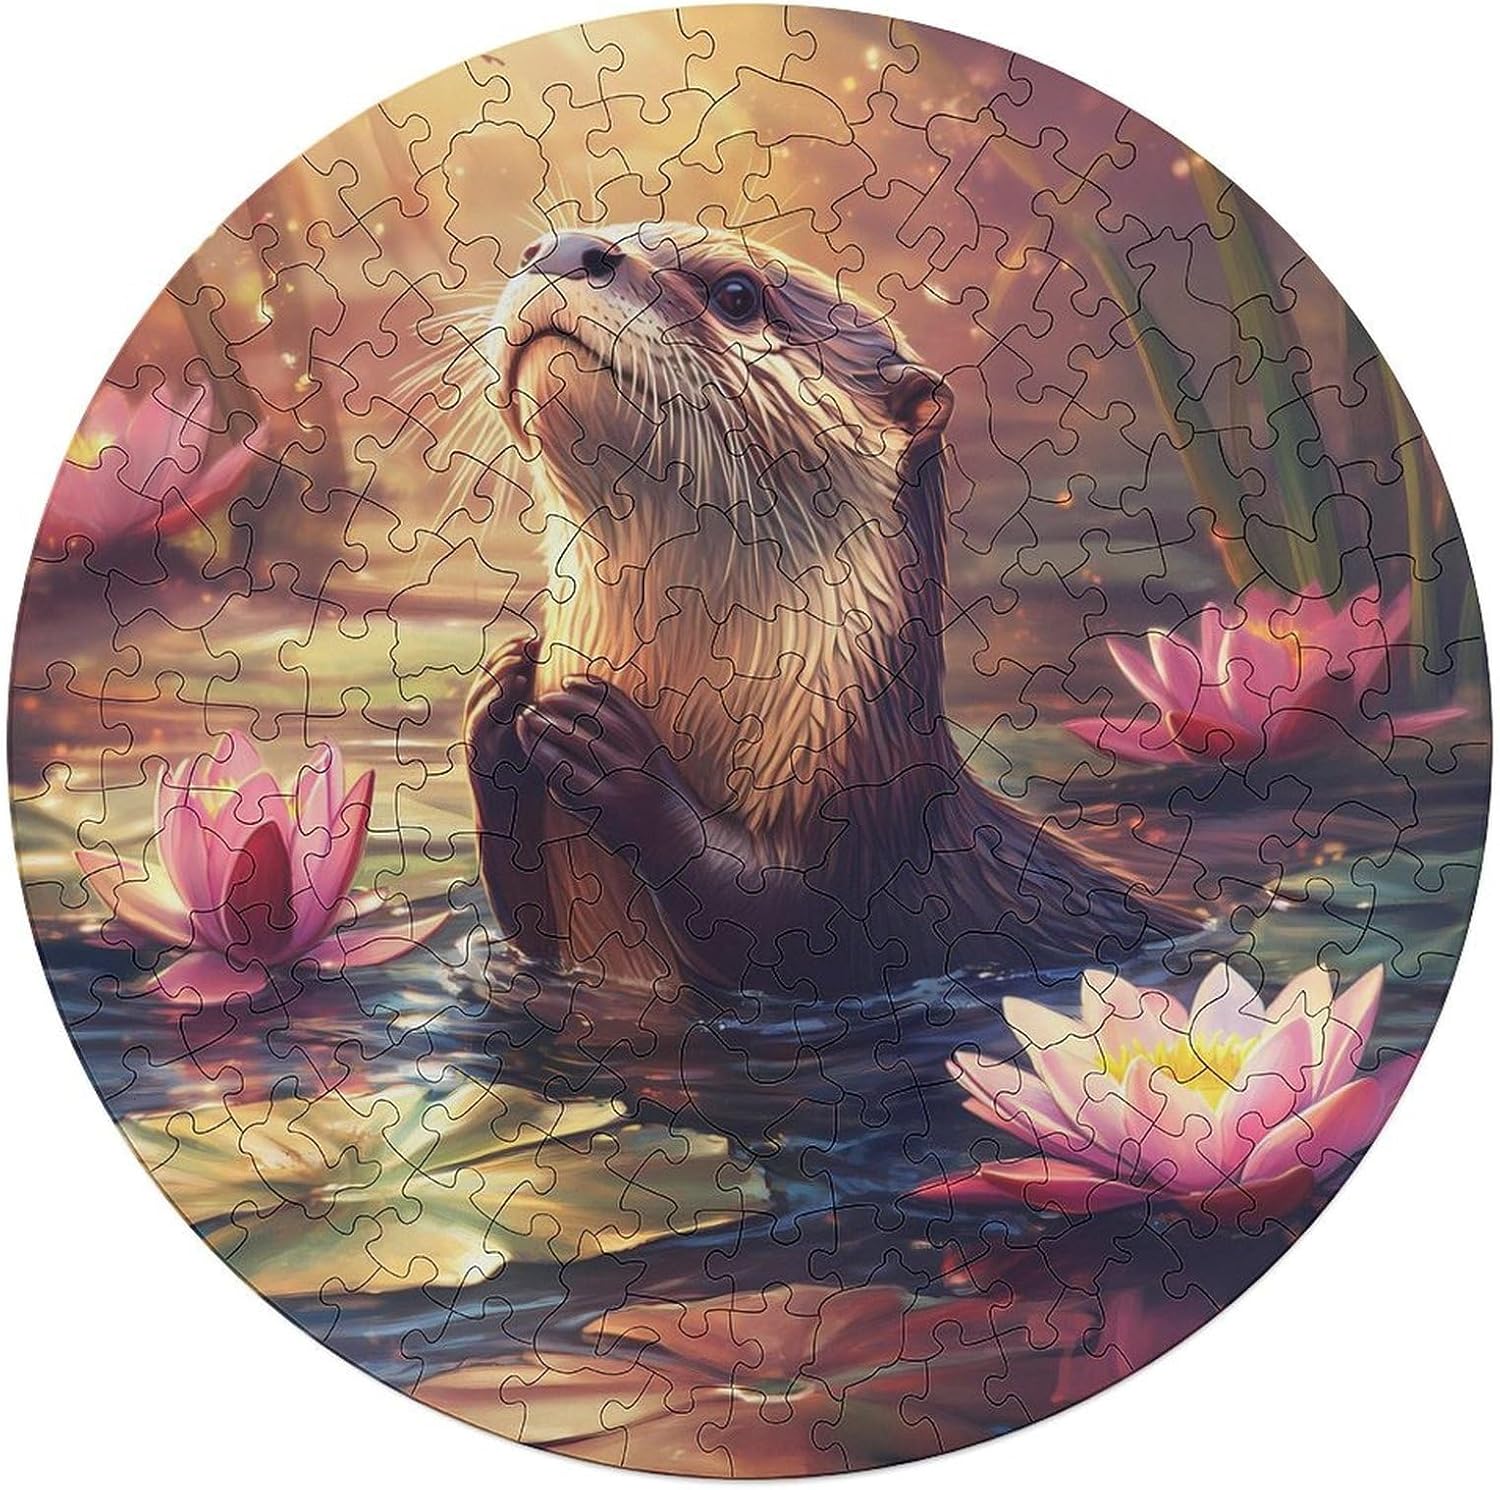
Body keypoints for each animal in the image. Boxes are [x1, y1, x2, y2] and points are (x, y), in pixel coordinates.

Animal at [465, 222, 1194, 996]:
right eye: (543, 244)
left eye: (736, 294)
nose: (564, 249)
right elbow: (521, 916)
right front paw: (500, 691)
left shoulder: (869, 853)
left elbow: (787, 917)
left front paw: (617, 762)